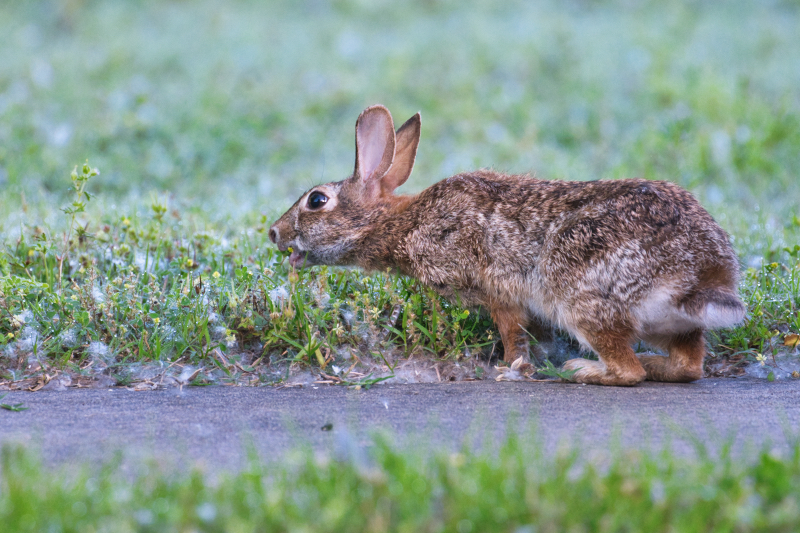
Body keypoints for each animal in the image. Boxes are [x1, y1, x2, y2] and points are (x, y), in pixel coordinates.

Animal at [270, 105, 744, 386]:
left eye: (316, 201)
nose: (274, 233)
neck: (402, 222)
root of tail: (703, 274)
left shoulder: (497, 289)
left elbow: (512, 333)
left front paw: (511, 367)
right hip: (668, 324)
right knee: (688, 366)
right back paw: (656, 365)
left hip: (580, 295)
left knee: (628, 371)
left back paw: (584, 370)